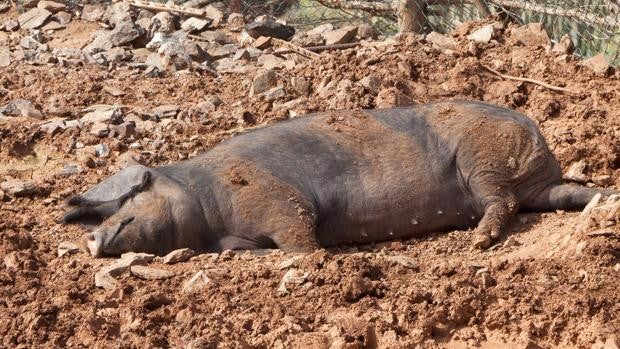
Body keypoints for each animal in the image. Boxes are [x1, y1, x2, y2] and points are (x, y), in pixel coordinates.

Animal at [61, 100, 616, 256]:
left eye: (130, 201)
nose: (92, 239)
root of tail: (537, 134)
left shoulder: (280, 199)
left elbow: (301, 239)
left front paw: (318, 259)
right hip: (533, 182)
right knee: (552, 196)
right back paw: (597, 200)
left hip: (484, 160)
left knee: (500, 202)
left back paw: (478, 242)